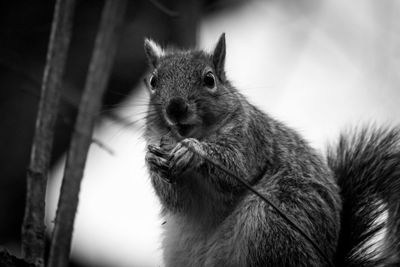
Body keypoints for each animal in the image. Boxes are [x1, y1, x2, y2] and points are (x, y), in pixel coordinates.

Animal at [142, 34, 398, 267]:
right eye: (153, 82)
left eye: (209, 79)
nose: (175, 107)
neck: (199, 133)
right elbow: (175, 199)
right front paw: (152, 160)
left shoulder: (252, 139)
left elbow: (234, 168)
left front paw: (194, 151)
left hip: (271, 222)